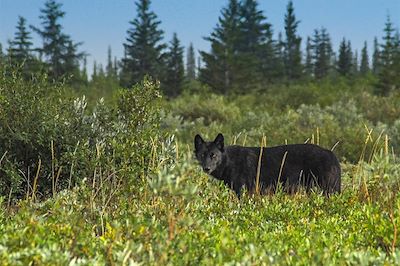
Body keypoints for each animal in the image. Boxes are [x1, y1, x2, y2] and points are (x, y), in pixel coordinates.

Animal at [194, 133, 340, 197]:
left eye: (213, 155)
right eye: (202, 155)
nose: (206, 168)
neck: (230, 161)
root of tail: (331, 154)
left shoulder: (245, 191)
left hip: (327, 190)